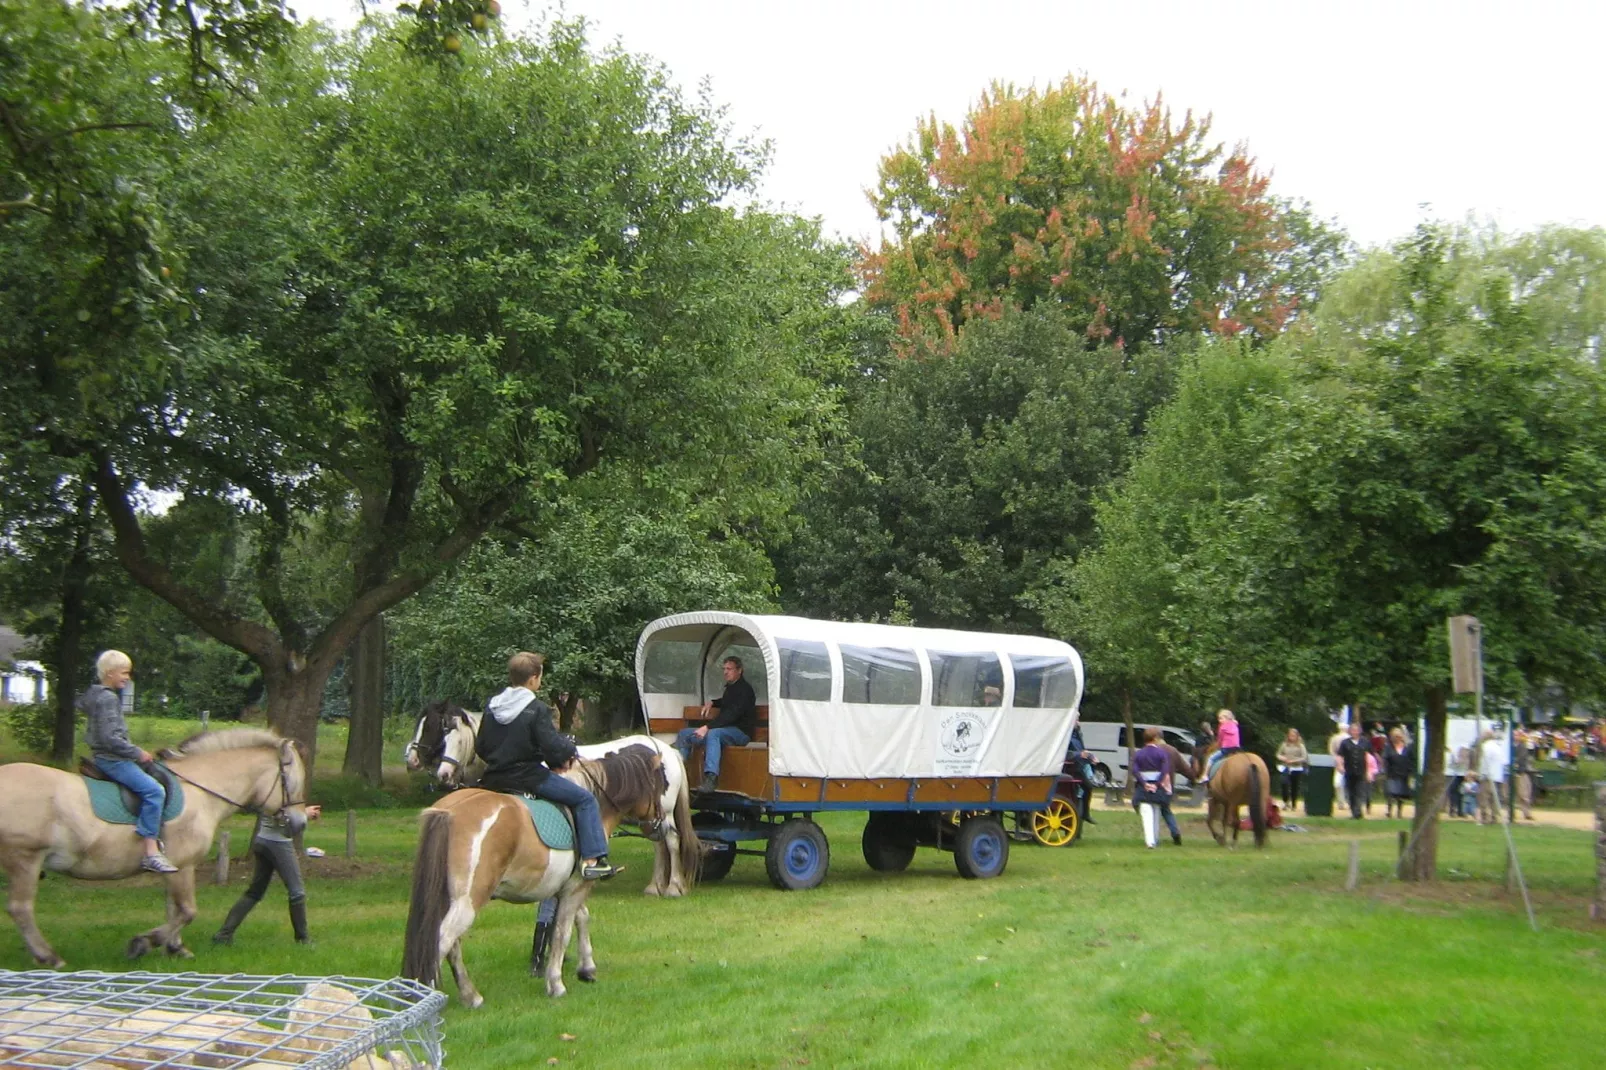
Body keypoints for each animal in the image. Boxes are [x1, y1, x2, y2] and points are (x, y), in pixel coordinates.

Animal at [0, 729, 306, 963]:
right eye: (294, 782)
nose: (300, 823)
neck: (201, 790)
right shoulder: (184, 866)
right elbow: (187, 911)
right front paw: (145, 942)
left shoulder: (175, 869)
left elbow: (173, 908)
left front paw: (175, 947)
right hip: (25, 859)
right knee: (20, 908)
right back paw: (48, 956)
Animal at [407, 742, 671, 1002]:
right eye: (660, 785)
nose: (663, 827)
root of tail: (448, 812)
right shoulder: (577, 886)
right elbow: (562, 933)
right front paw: (556, 984)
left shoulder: (565, 887)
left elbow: (580, 918)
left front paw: (586, 968)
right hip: (468, 901)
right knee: (442, 940)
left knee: (450, 944)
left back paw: (469, 995)